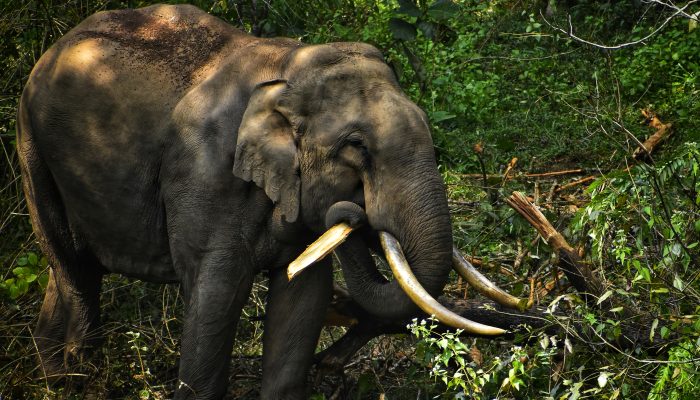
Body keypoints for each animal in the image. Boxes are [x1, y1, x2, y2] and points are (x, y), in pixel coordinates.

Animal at [17, 4, 522, 399]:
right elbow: (216, 294)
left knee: (68, 271)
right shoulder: (204, 174)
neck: (289, 69)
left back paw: (51, 377)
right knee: (73, 270)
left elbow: (304, 295)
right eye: (357, 146)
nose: (354, 211)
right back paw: (74, 378)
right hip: (31, 144)